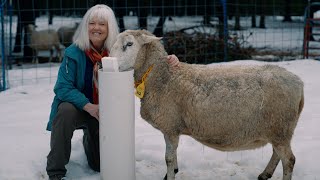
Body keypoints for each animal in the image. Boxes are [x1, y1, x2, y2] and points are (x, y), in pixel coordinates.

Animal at [109, 29, 304, 180]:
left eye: (129, 44)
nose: (108, 62)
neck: (161, 76)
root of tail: (298, 83)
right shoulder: (172, 127)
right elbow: (173, 155)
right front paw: (173, 171)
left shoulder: (170, 126)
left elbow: (168, 158)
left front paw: (170, 175)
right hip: (279, 129)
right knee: (277, 154)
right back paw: (265, 174)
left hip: (280, 125)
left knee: (289, 160)